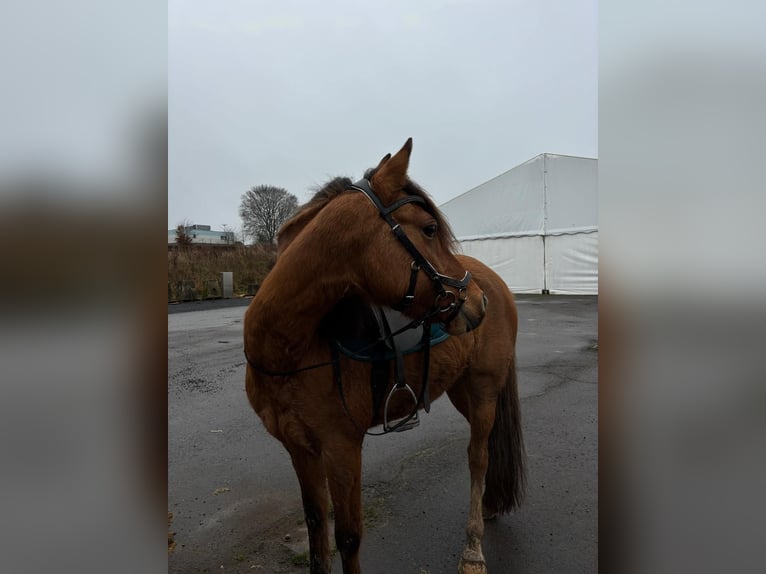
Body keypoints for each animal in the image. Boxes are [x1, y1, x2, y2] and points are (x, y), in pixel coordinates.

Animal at [243, 138, 525, 574]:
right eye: (429, 229)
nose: (477, 302)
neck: (286, 348)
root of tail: (494, 281)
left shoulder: (342, 448)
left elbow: (347, 536)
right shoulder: (300, 449)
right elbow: (315, 526)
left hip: (482, 391)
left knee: (477, 457)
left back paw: (473, 549)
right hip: (462, 389)